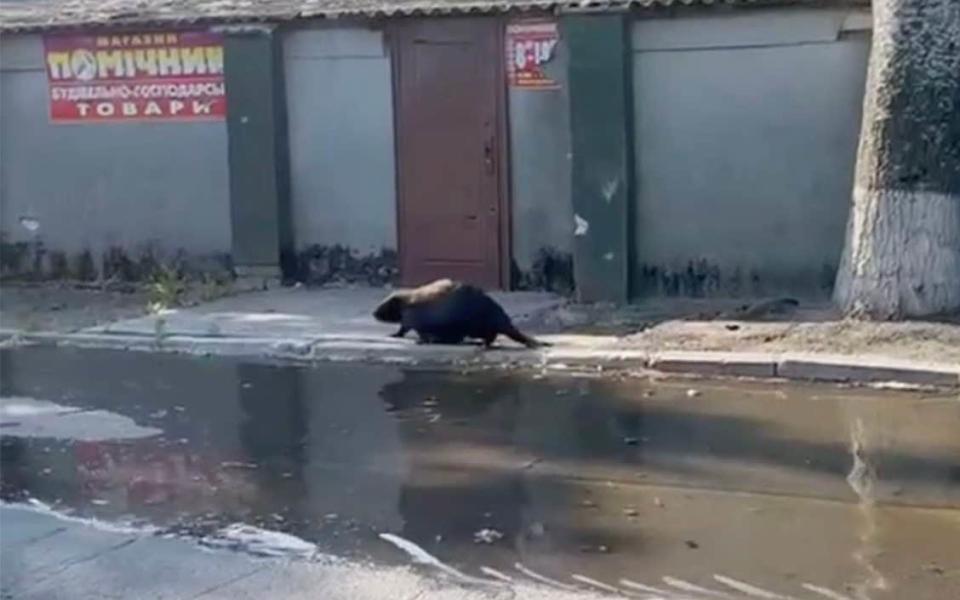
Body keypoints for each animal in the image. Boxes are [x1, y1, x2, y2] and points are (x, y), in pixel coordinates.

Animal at [372, 278, 548, 350]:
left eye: (383, 304)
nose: (374, 313)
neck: (409, 300)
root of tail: (504, 320)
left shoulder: (412, 316)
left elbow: (408, 328)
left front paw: (412, 339)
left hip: (476, 325)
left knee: (490, 336)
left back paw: (482, 345)